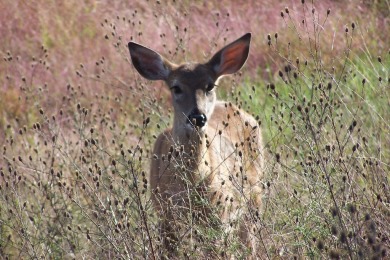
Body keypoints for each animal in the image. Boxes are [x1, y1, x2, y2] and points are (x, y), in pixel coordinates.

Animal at [129, 33, 264, 258]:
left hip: (254, 195)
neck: (190, 182)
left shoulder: (220, 214)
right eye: (176, 87)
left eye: (210, 86)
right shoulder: (165, 215)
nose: (197, 117)